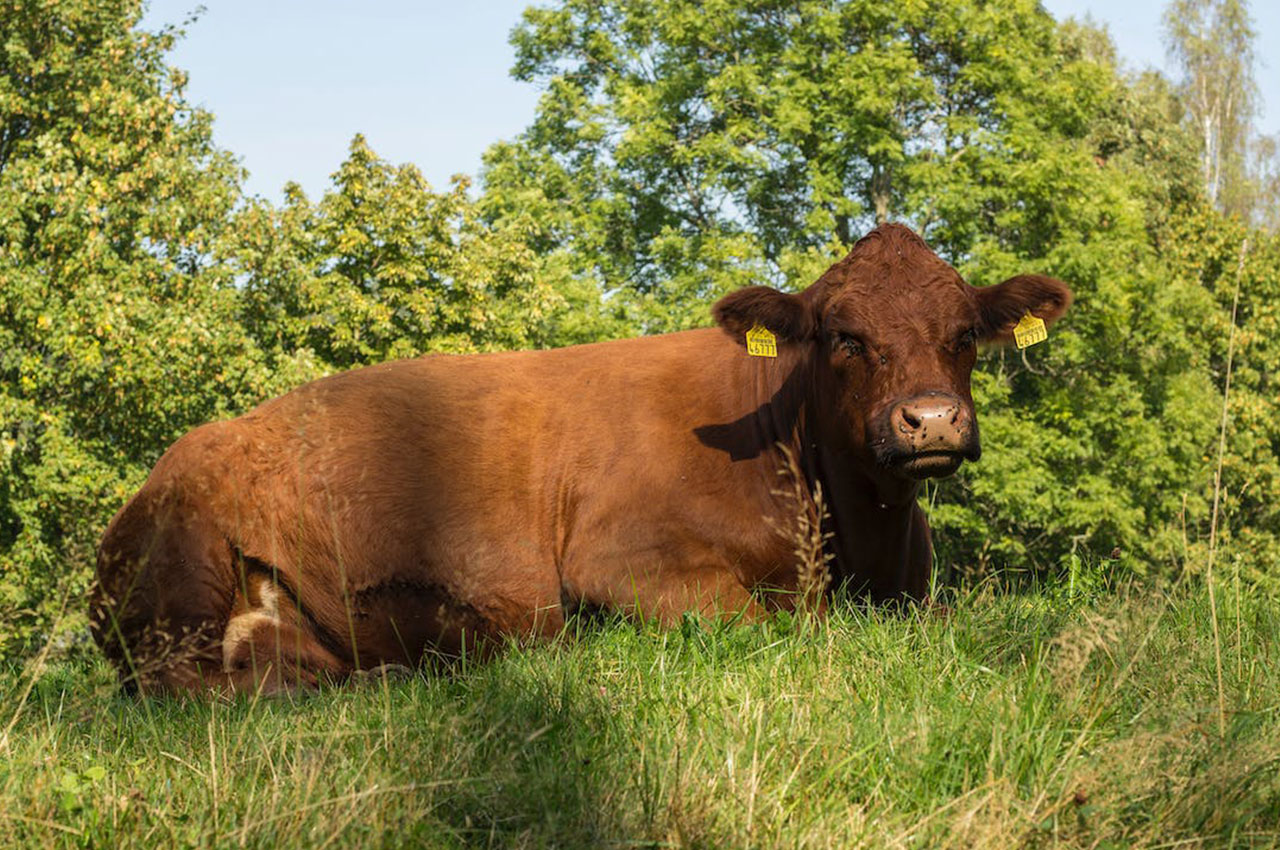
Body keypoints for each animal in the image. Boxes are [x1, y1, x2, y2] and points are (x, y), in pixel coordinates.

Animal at [87, 222, 1070, 696]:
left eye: (963, 333)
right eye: (843, 336)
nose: (930, 420)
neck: (848, 533)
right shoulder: (622, 561)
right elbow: (774, 624)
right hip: (180, 582)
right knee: (185, 690)